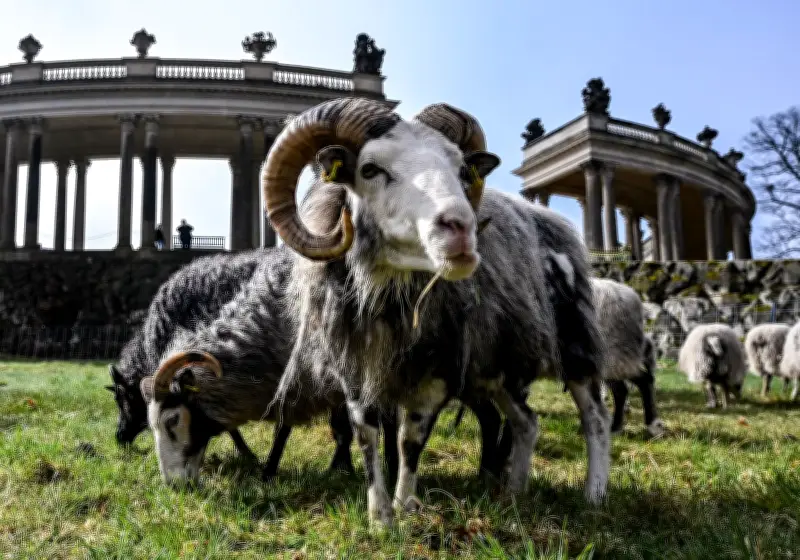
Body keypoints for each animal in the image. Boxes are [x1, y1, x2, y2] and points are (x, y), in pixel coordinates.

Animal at [258, 97, 609, 527]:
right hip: (500, 363)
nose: (461, 228)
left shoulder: (440, 367)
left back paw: (594, 496)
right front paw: (380, 519)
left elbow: (410, 441)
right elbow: (367, 437)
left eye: (461, 170)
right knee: (526, 422)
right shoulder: (354, 367)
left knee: (594, 417)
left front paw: (406, 507)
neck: (393, 300)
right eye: (370, 170)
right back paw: (515, 492)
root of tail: (552, 223)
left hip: (574, 342)